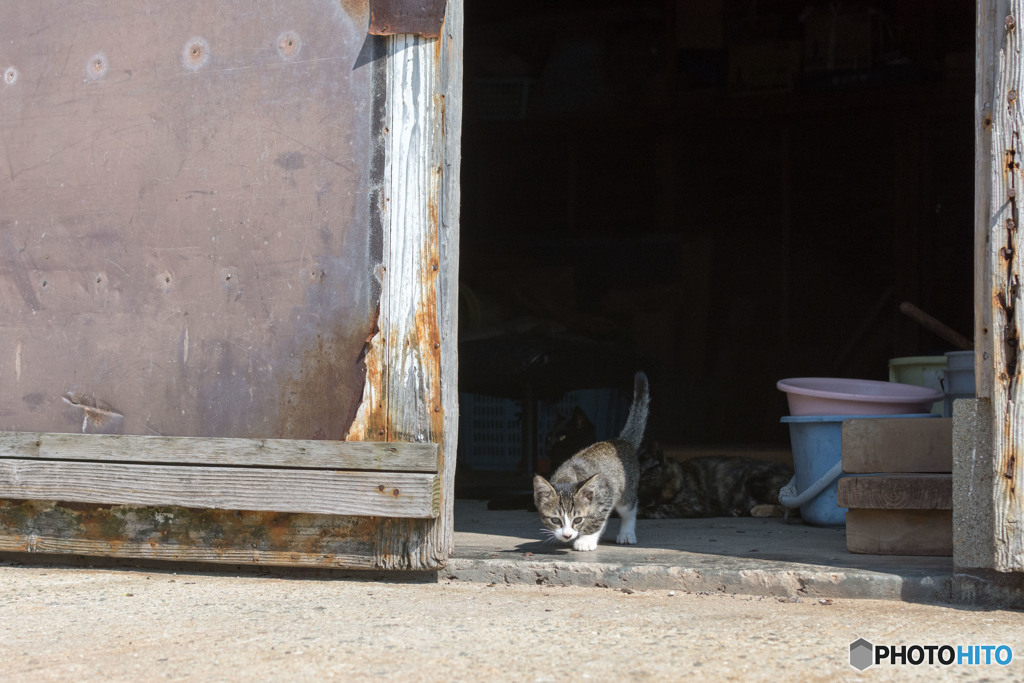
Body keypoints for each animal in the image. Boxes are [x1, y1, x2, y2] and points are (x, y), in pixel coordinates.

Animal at [532, 370, 651, 552]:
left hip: (626, 489)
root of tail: (621, 441)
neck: (568, 477)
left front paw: (586, 540)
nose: (567, 535)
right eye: (555, 520)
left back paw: (626, 533)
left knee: (630, 508)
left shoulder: (605, 496)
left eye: (577, 519)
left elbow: (597, 519)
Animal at [638, 448, 790, 518]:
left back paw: (758, 510)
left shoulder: (694, 506)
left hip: (754, 478)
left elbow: (661, 508)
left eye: (641, 476)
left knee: (789, 509)